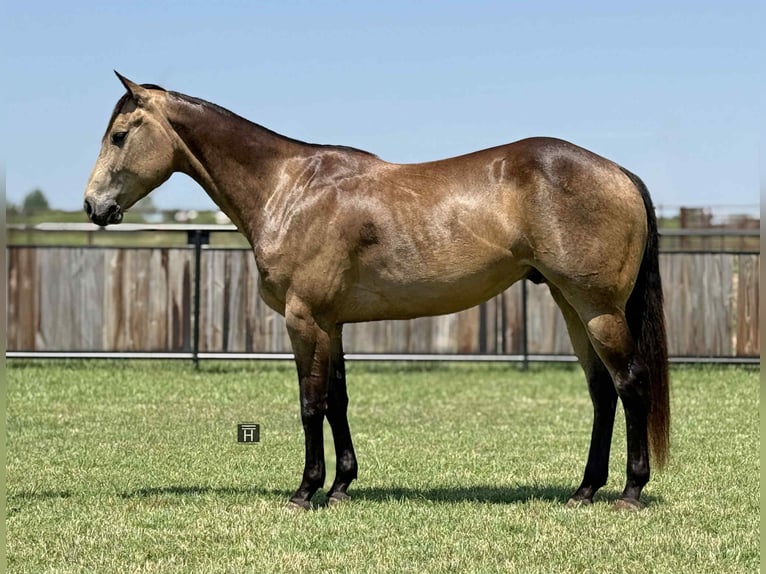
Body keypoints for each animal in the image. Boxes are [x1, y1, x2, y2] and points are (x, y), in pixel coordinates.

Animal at [84, 72, 669, 511]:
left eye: (119, 136)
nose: (93, 206)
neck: (290, 189)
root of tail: (618, 172)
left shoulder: (303, 319)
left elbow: (310, 403)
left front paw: (305, 491)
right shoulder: (331, 322)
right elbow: (338, 400)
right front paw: (342, 485)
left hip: (599, 310)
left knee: (631, 384)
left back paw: (631, 492)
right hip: (572, 307)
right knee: (601, 392)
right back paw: (585, 490)